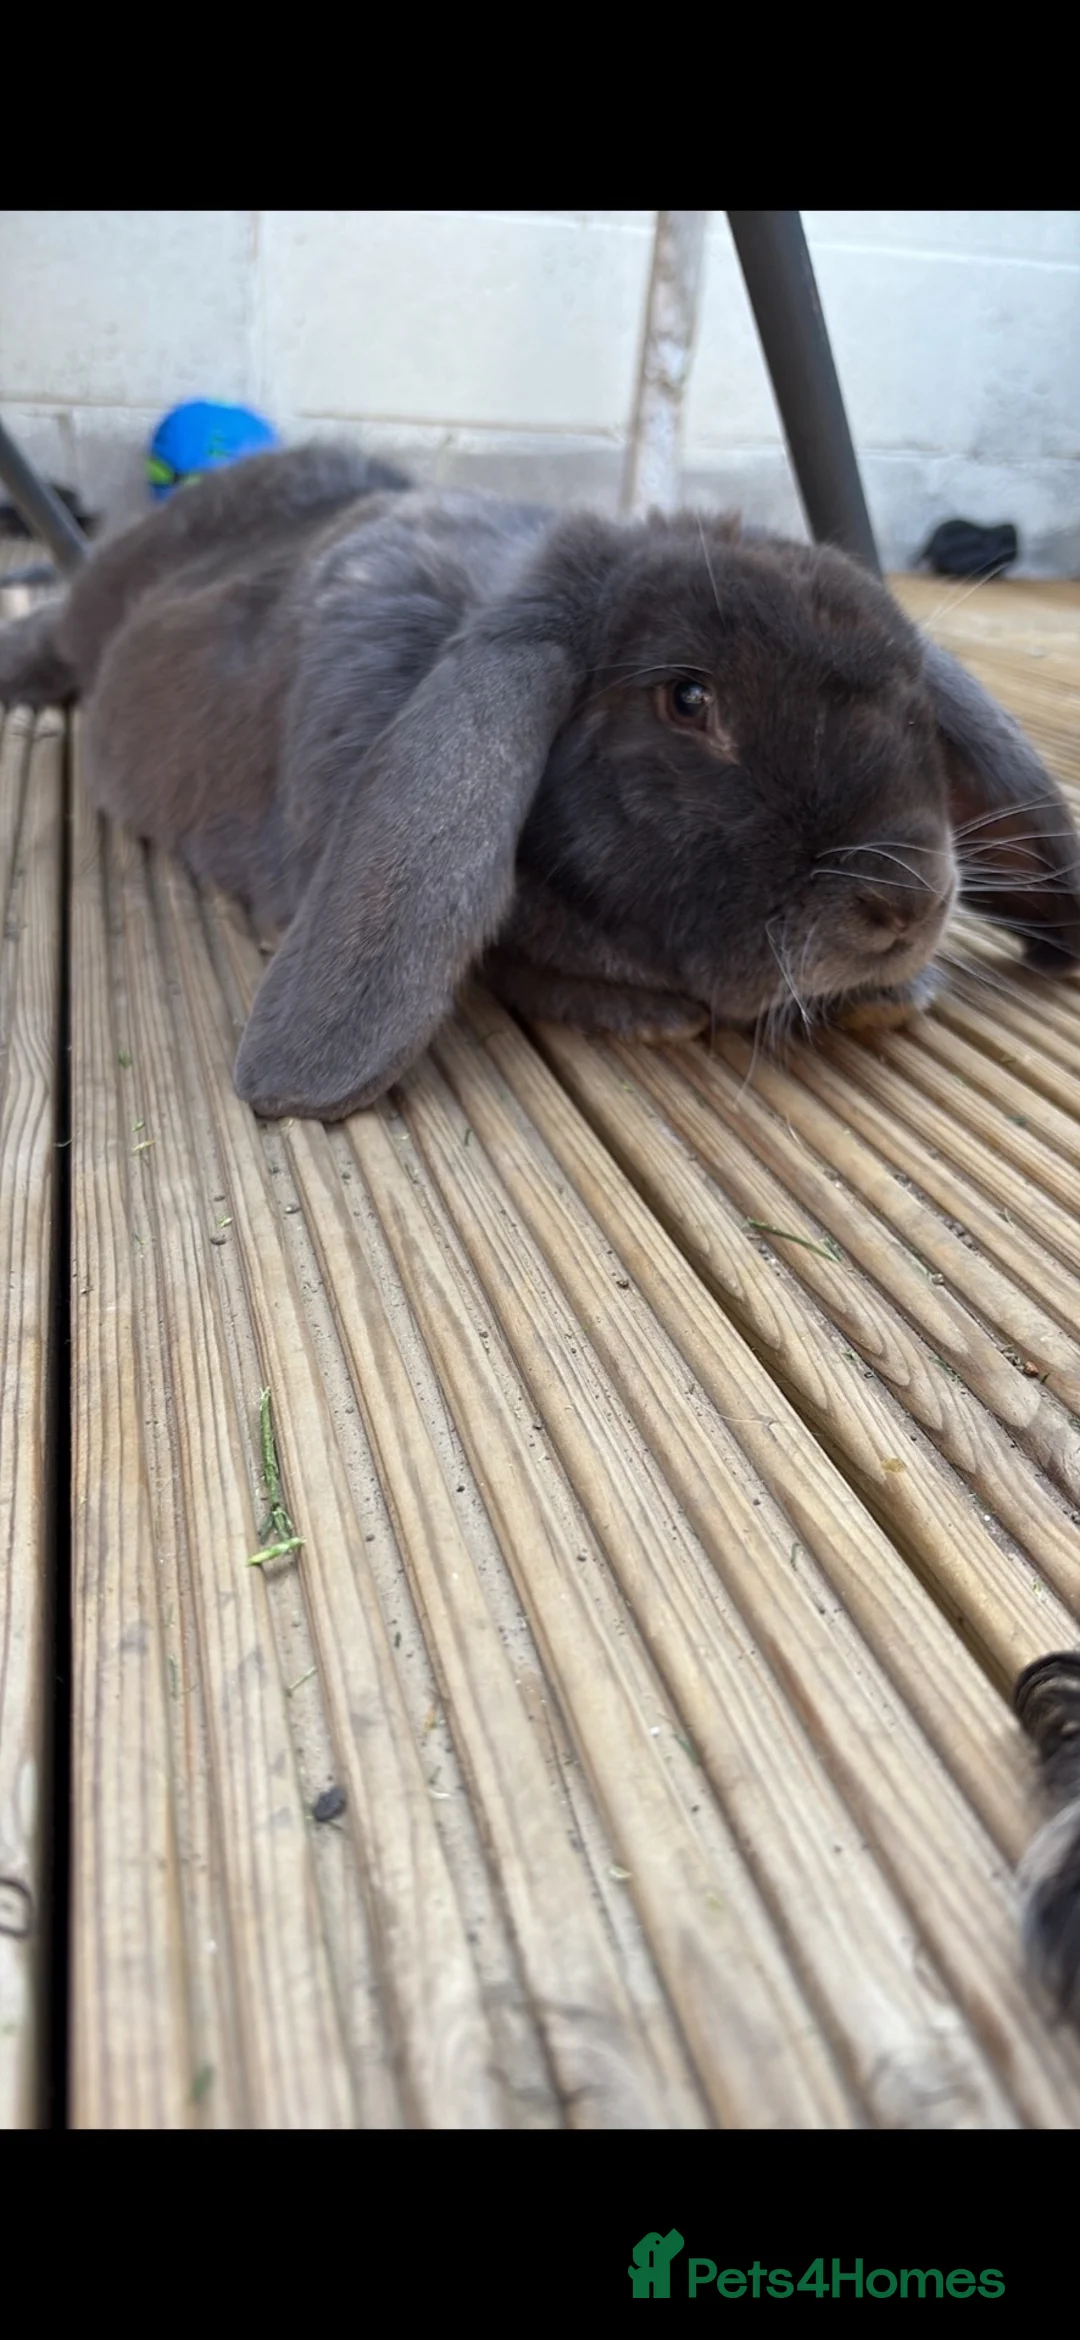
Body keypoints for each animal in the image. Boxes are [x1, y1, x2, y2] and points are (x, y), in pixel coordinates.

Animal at [3, 436, 1080, 2035]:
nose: (906, 901)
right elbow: (527, 953)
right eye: (686, 699)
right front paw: (670, 1007)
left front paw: (898, 996)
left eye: (913, 696)